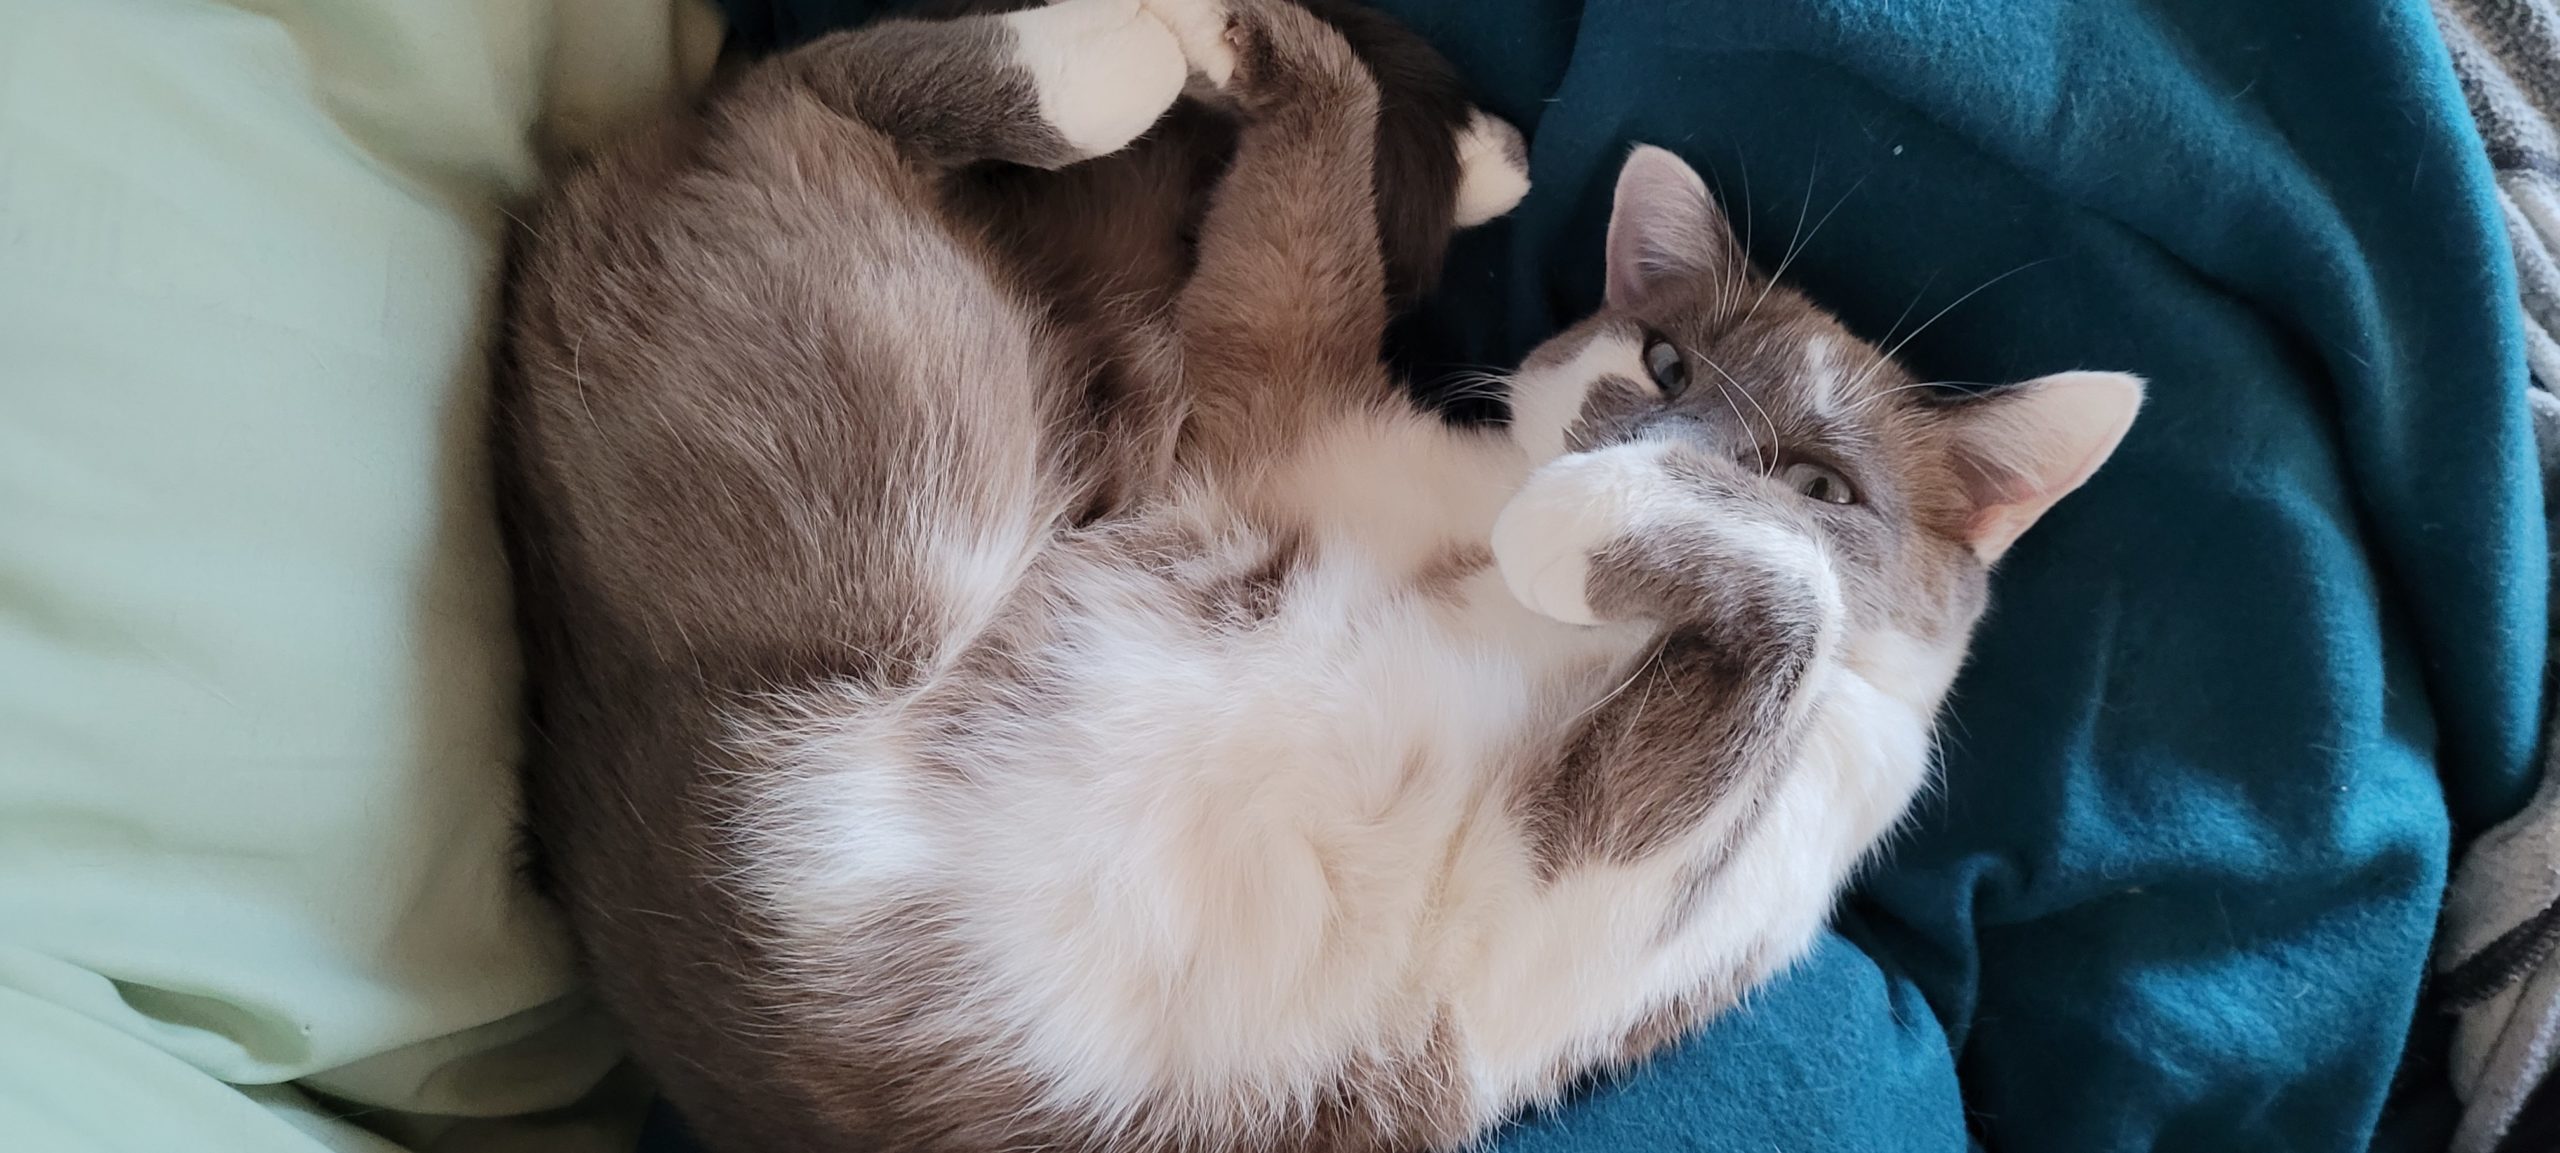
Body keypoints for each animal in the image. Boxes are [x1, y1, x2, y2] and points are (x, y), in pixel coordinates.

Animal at [494, 2, 2140, 1153]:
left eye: (1821, 486)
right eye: (1666, 361)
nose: (1655, 441)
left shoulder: (1584, 872)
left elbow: (1786, 601)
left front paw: (1589, 525)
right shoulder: (1266, 406)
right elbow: (1314, 181)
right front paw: (1261, 44)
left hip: (916, 510)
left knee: (794, 107)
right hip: (937, 487)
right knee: (798, 94)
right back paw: (1180, 67)